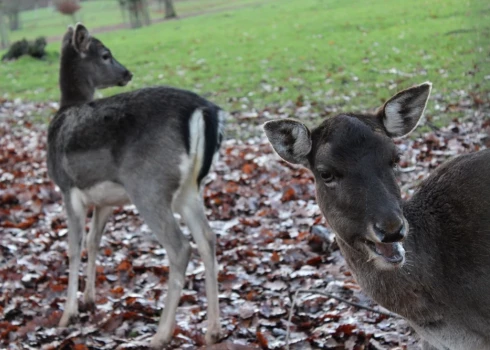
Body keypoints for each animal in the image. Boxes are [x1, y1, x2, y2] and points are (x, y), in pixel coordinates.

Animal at [47, 23, 224, 348]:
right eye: (106, 54)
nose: (126, 73)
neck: (66, 109)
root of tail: (204, 111)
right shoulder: (105, 200)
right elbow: (93, 241)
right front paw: (89, 300)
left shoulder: (66, 187)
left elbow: (73, 246)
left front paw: (67, 315)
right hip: (189, 189)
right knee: (208, 238)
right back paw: (213, 330)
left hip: (148, 186)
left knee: (180, 247)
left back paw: (161, 334)